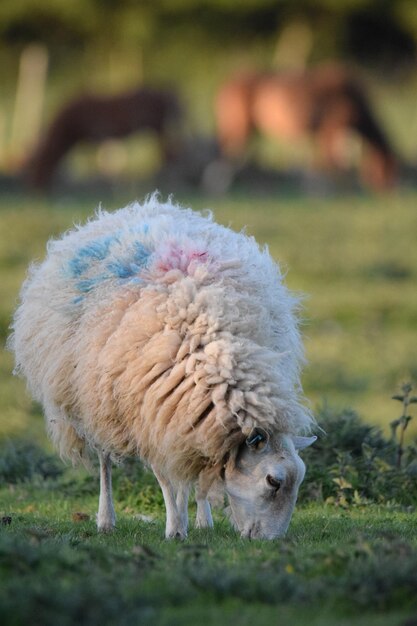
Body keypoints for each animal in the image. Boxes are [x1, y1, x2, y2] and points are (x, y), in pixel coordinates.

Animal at [9, 195, 314, 536]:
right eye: (273, 481)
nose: (272, 541)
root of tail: (143, 207)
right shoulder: (148, 414)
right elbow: (166, 478)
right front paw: (175, 528)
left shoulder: (186, 418)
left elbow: (193, 474)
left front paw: (195, 520)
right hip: (95, 399)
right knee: (104, 459)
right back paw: (106, 519)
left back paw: (201, 519)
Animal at [24, 85, 182, 188]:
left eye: (38, 166)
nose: (35, 189)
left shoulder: (101, 134)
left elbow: (105, 164)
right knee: (169, 153)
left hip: (158, 128)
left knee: (169, 153)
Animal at [214, 66, 396, 189]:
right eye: (387, 167)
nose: (390, 192)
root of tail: (228, 83)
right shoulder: (331, 128)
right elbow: (333, 162)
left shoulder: (329, 132)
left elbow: (328, 160)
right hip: (239, 125)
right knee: (228, 153)